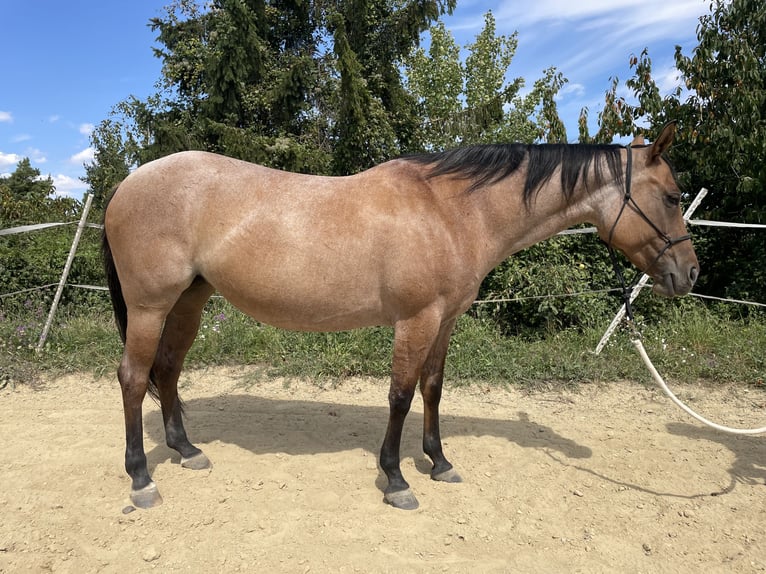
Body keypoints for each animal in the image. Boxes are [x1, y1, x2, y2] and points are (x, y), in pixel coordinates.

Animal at [102, 122, 698, 510]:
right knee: (133, 378)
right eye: (672, 196)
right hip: (151, 306)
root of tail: (126, 185)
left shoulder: (446, 319)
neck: (452, 209)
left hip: (189, 301)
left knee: (167, 372)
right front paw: (395, 479)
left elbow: (432, 389)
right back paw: (141, 478)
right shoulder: (416, 318)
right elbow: (401, 395)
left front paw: (438, 462)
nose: (688, 274)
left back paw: (186, 450)